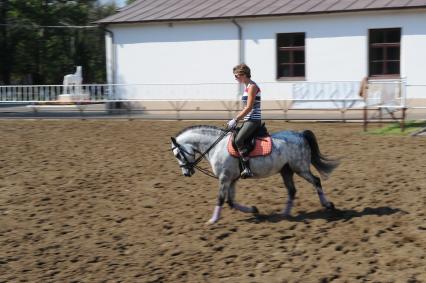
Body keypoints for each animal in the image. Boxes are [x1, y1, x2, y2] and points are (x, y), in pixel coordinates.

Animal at [171, 125, 340, 225]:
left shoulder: (224, 178)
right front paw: (253, 209)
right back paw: (284, 214)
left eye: (178, 154)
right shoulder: (232, 179)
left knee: (316, 181)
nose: (186, 173)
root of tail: (300, 134)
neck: (215, 146)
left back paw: (327, 204)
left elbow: (220, 199)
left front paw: (213, 220)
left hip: (300, 168)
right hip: (286, 170)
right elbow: (230, 201)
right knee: (292, 190)